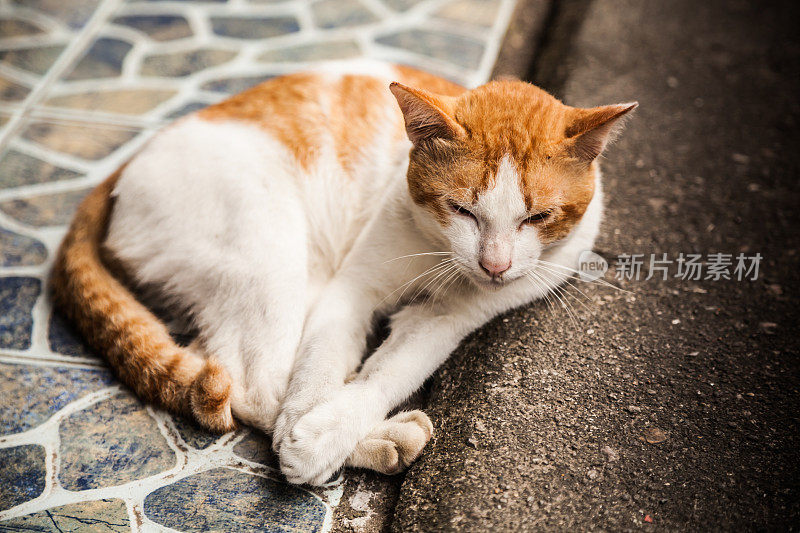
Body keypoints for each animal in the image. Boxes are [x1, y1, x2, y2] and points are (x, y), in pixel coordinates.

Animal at [51, 60, 636, 484]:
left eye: (538, 218)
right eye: (462, 210)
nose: (494, 264)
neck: (438, 258)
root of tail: (122, 167)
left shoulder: (448, 318)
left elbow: (390, 373)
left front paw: (328, 430)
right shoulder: (349, 290)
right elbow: (316, 373)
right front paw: (310, 439)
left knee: (216, 360)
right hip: (271, 247)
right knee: (258, 385)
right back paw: (376, 440)